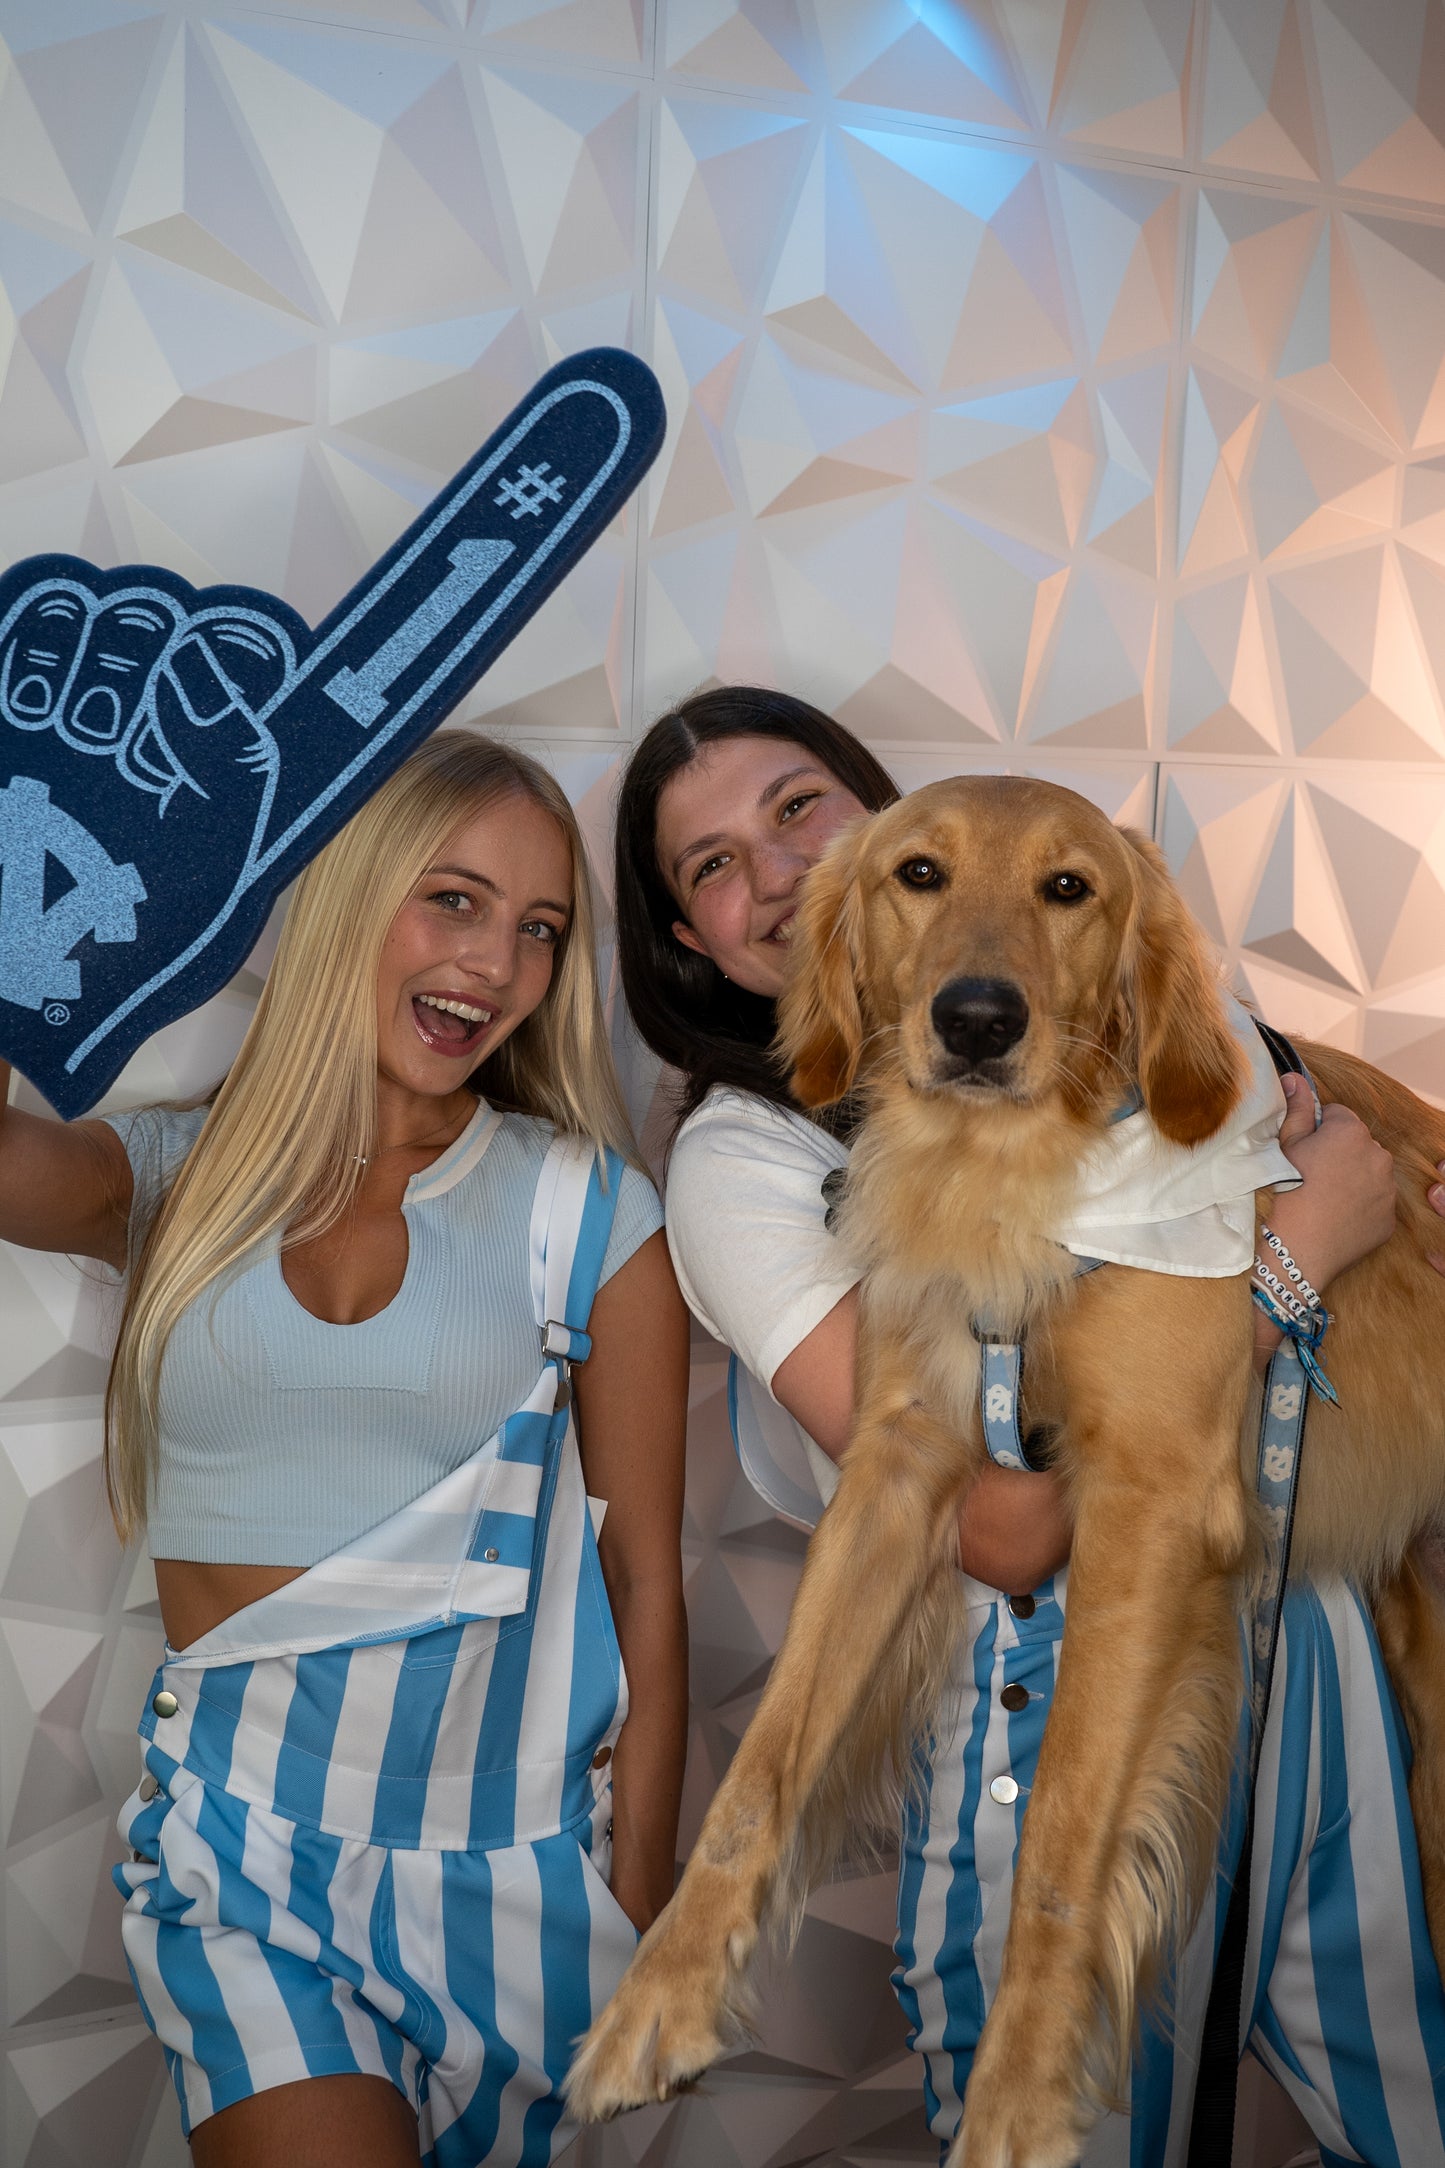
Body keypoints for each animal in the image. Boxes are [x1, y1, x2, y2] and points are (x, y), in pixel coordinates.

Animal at [567, 780, 1445, 2168]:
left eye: (1067, 888)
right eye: (918, 872)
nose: (976, 1019)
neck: (1008, 1178)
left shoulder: (1148, 1502)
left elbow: (1062, 1836)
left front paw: (1019, 2099)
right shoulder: (897, 1466)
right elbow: (758, 1770)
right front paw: (652, 2006)